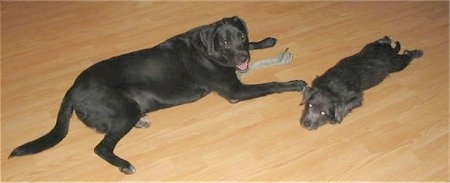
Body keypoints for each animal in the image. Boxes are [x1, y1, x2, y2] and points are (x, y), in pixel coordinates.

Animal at [9, 16, 306, 174]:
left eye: (241, 36)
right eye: (224, 41)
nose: (242, 57)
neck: (207, 49)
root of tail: (71, 89)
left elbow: (257, 51)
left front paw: (265, 42)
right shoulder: (235, 90)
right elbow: (272, 84)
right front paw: (295, 83)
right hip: (124, 110)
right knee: (101, 146)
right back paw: (124, 163)